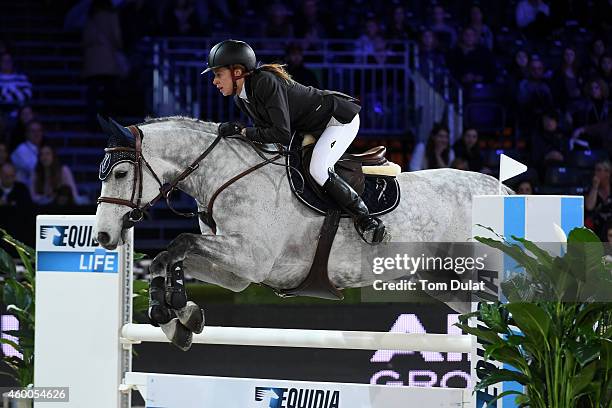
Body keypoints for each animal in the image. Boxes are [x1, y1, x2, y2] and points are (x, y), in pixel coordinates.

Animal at [93, 116, 512, 350]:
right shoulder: (236, 273)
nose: (103, 237)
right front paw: (178, 317)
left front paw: (176, 310)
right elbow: (170, 257)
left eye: (120, 173)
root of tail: (503, 191)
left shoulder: (250, 258)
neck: (226, 175)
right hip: (445, 282)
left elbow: (179, 244)